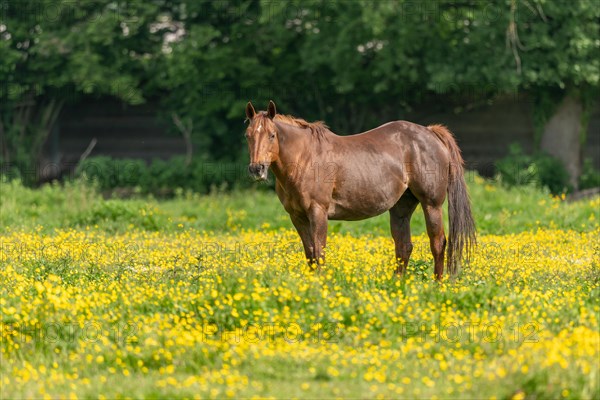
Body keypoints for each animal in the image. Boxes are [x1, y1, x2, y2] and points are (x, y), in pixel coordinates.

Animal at [243, 101, 474, 280]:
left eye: (272, 135)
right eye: (248, 135)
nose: (257, 169)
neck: (305, 158)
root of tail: (430, 133)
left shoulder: (318, 212)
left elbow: (319, 252)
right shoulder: (297, 216)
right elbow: (310, 254)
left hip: (431, 205)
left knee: (438, 243)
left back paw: (437, 284)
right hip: (401, 208)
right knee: (404, 247)